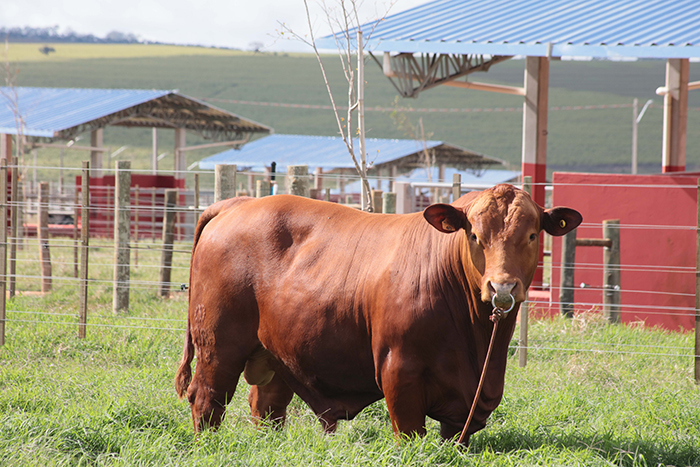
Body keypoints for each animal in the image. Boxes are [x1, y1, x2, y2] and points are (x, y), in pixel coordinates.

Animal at [178, 185, 584, 444]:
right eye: (475, 236)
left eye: (531, 235)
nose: (502, 288)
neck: (477, 342)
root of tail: (238, 203)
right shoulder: (399, 370)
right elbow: (409, 433)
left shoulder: (467, 402)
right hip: (218, 344)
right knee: (207, 399)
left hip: (277, 354)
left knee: (266, 407)